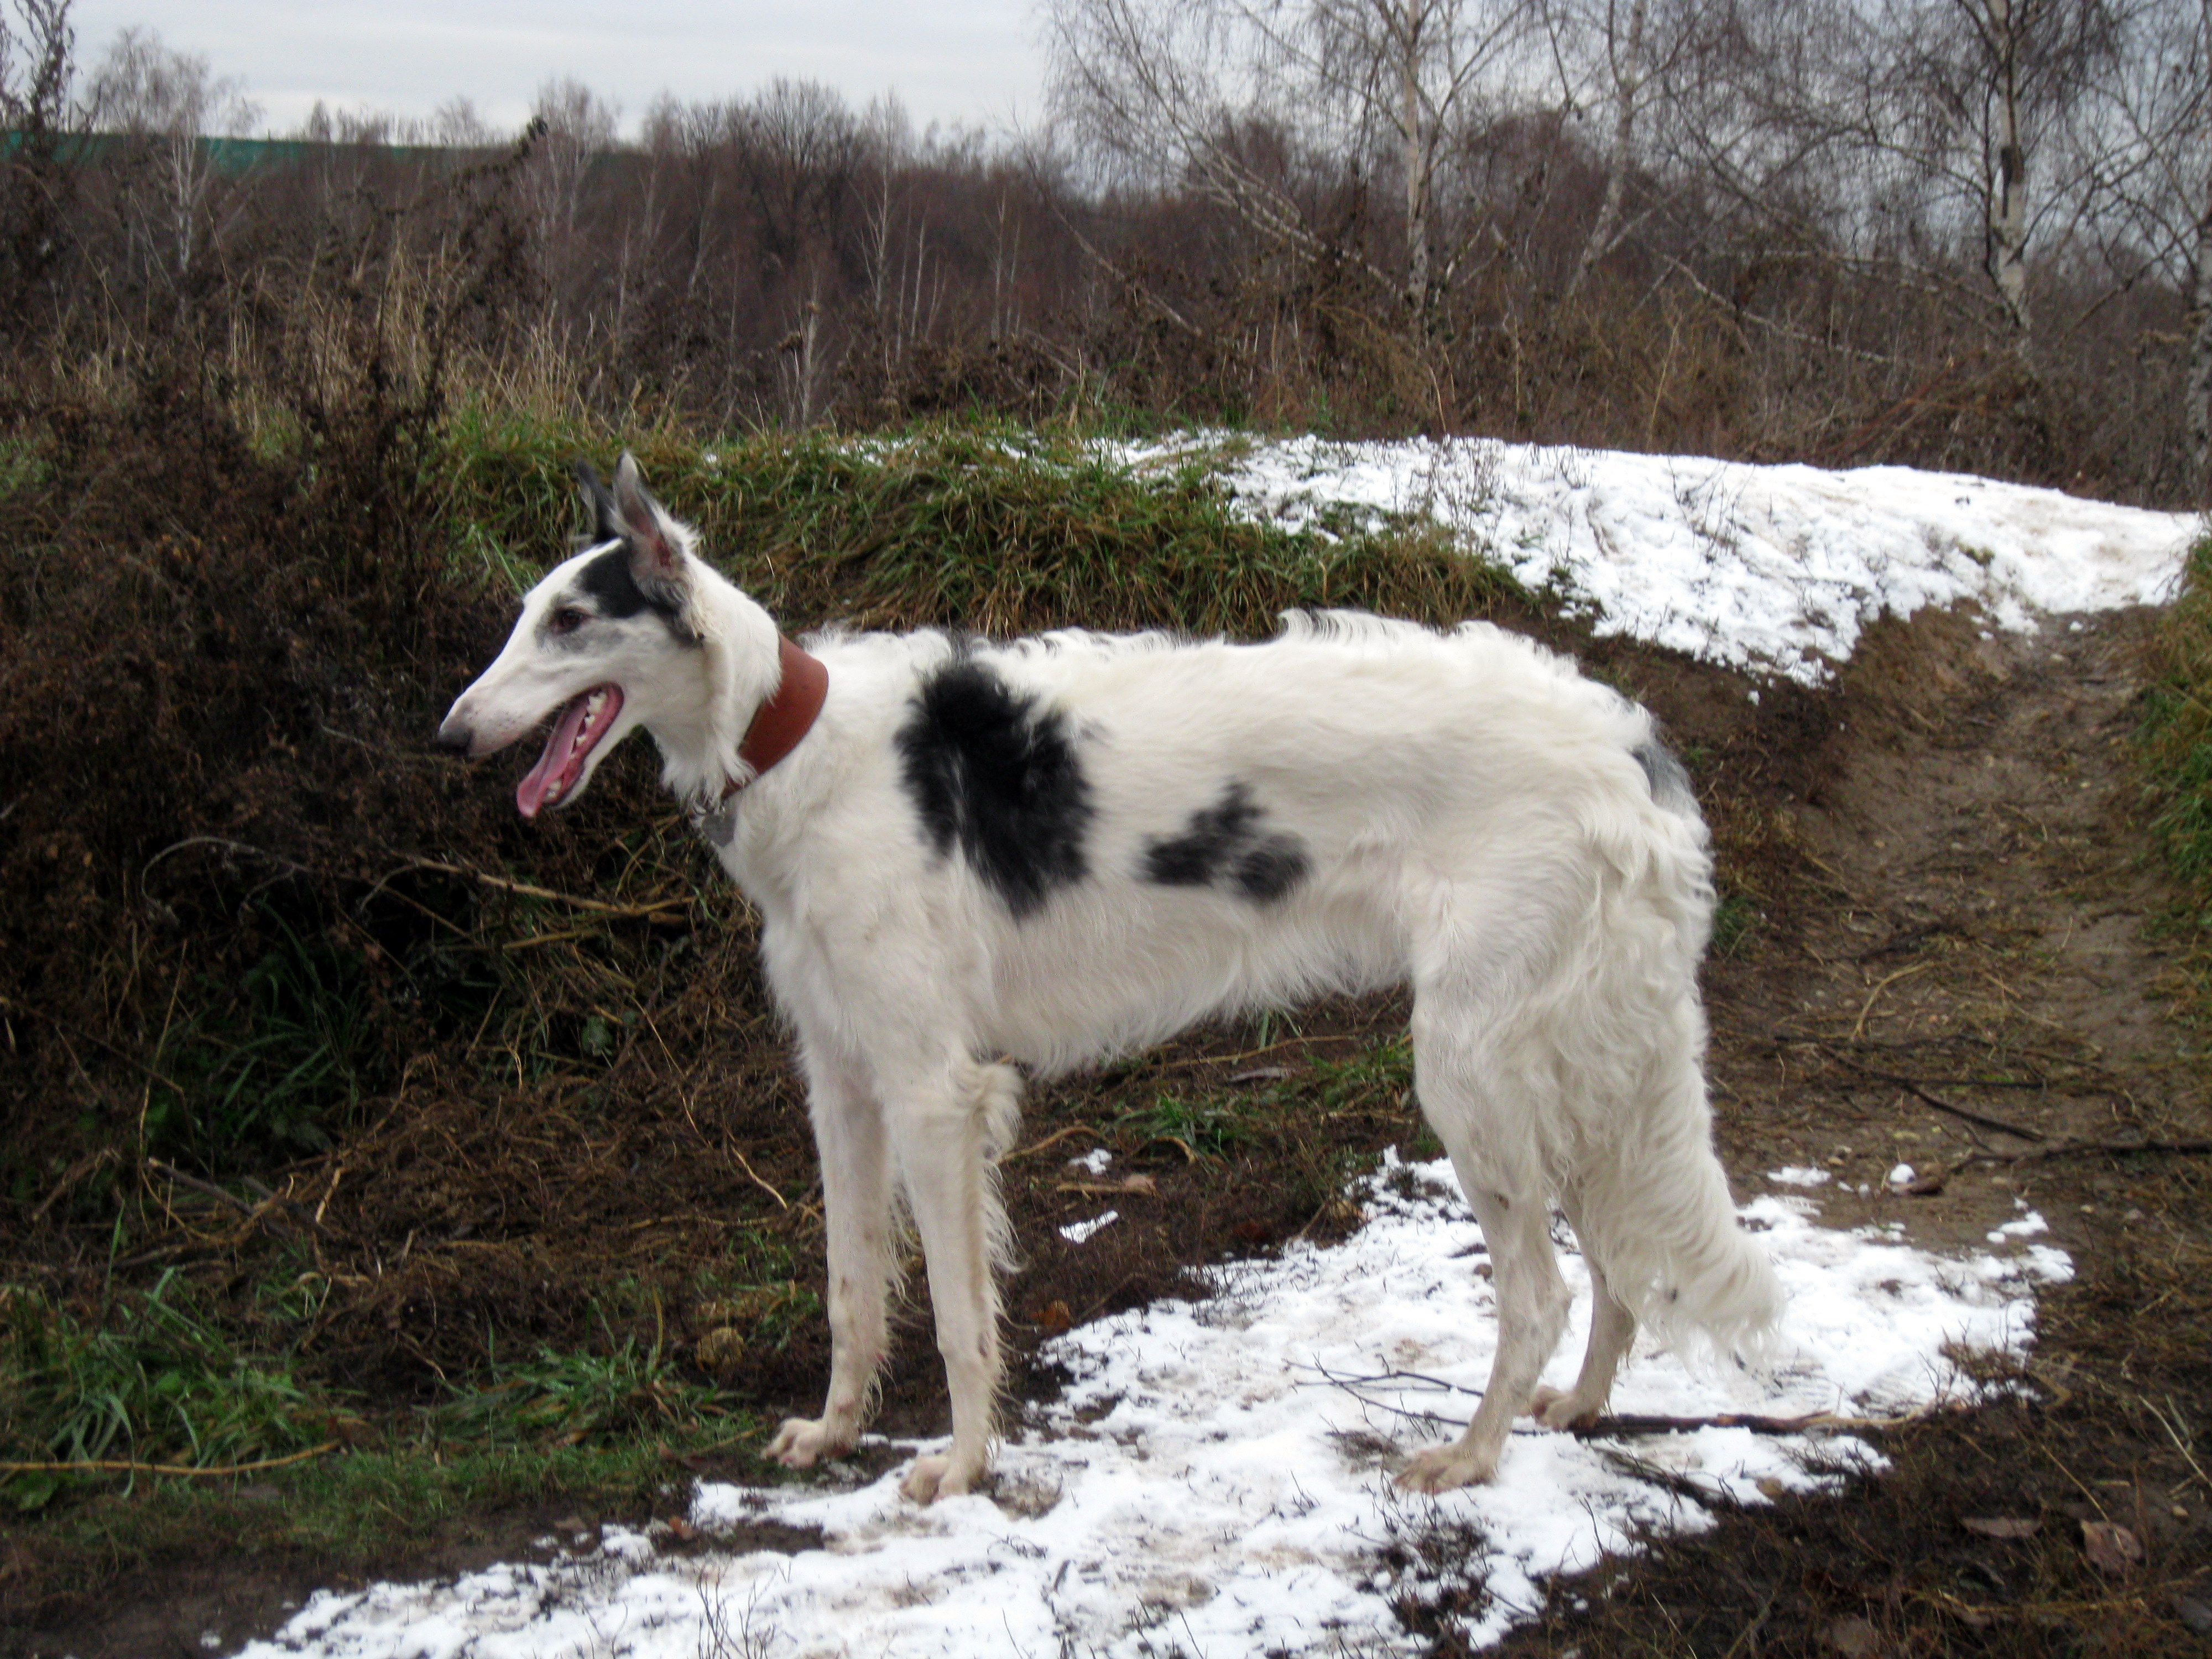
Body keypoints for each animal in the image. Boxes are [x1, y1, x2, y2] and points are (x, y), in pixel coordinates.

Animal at [440, 456, 1787, 1504]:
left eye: (570, 621)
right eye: (525, 612)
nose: (452, 735)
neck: (800, 744)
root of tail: (1629, 740)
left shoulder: (934, 1090)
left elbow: (956, 1315)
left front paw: (960, 1468)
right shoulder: (842, 1083)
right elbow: (849, 1288)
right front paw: (832, 1431)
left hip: (1469, 1073)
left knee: (1542, 1291)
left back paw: (1469, 1457)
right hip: (1561, 1069)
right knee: (1615, 1266)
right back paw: (1581, 1408)